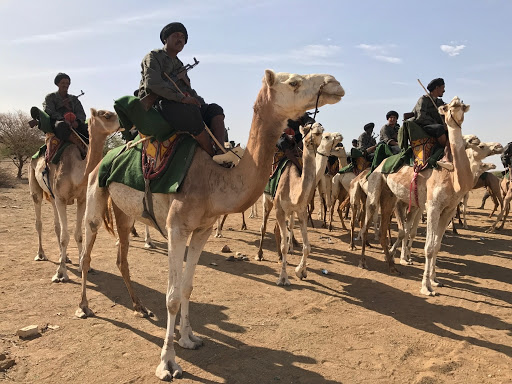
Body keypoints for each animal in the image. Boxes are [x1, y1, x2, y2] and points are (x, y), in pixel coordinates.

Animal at [28, 109, 119, 280]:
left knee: (57, 226)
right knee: (39, 221)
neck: (76, 172)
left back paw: (65, 257)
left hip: (52, 197)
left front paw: (84, 267)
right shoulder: (61, 199)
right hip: (36, 185)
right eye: (106, 115)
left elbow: (78, 235)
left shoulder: (81, 199)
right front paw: (60, 273)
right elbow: (65, 237)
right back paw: (41, 254)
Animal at [74, 70, 344, 380]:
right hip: (95, 193)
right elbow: (172, 297)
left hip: (123, 210)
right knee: (87, 251)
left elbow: (187, 288)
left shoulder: (201, 231)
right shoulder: (176, 229)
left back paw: (139, 307)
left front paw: (188, 339)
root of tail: (103, 157)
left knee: (121, 253)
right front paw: (168, 363)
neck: (215, 178)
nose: (334, 83)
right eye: (294, 82)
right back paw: (83, 307)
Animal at [360, 96, 472, 294]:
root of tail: (378, 163)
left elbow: (437, 246)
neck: (451, 174)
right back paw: (364, 262)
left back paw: (391, 265)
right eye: (447, 107)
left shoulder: (448, 210)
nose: (455, 109)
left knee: (385, 226)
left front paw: (435, 280)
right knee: (368, 221)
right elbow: (429, 247)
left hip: (390, 196)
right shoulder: (433, 206)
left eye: (461, 106)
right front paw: (426, 287)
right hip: (375, 188)